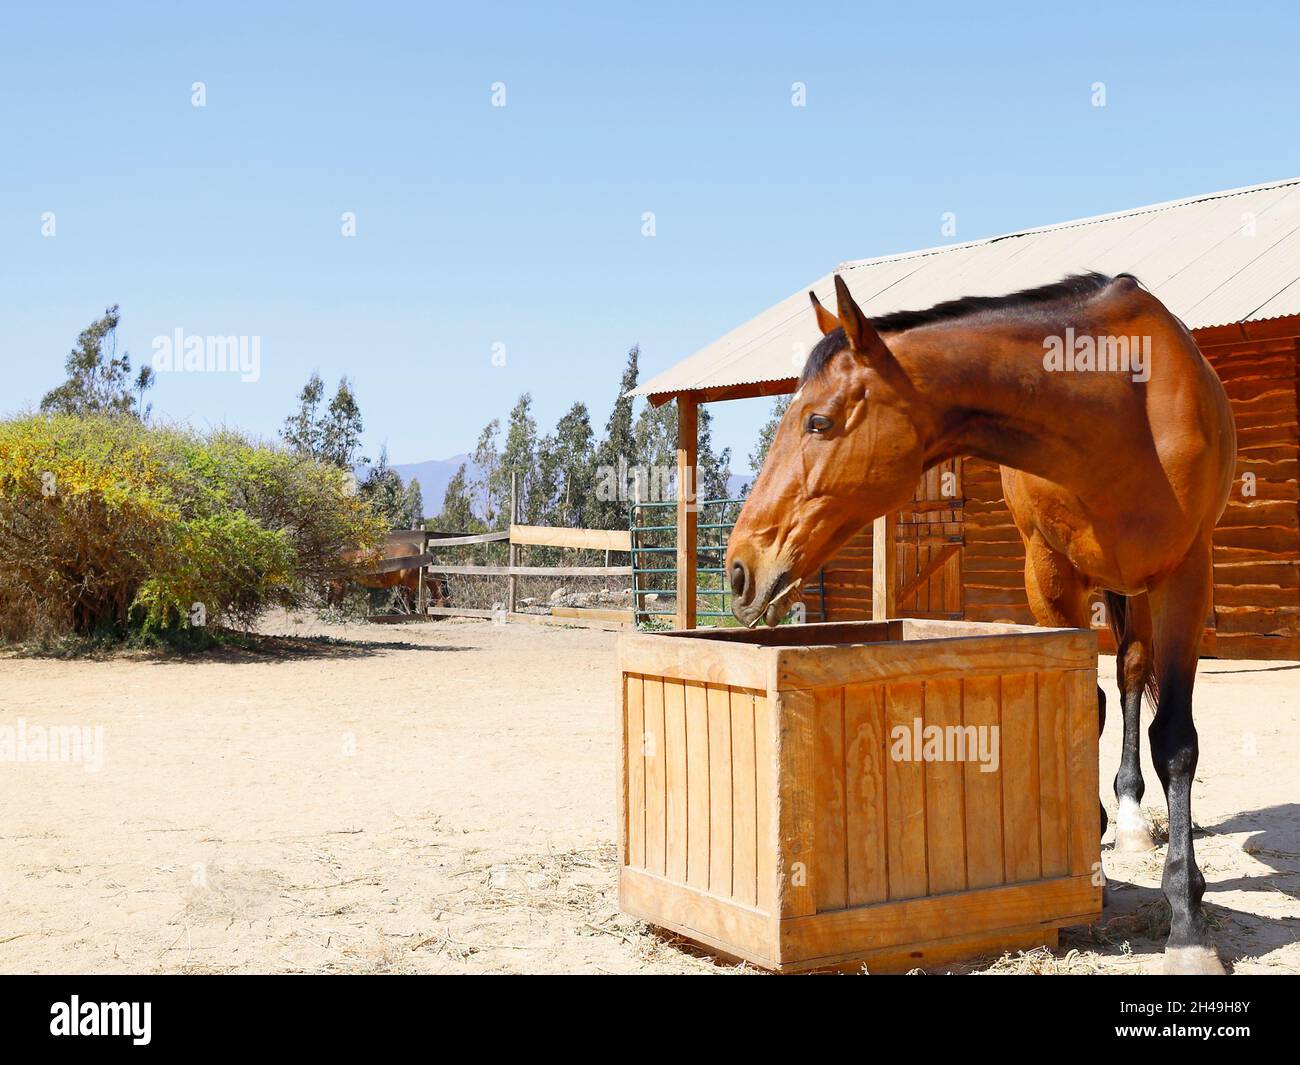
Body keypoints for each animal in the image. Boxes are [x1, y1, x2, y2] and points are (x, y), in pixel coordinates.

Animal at [726, 272, 1236, 974]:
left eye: (818, 421)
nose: (739, 569)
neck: (1123, 416)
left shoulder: (1186, 575)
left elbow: (1176, 742)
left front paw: (1187, 921)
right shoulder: (1047, 572)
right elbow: (1086, 705)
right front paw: (1089, 854)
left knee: (1134, 673)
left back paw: (1133, 816)